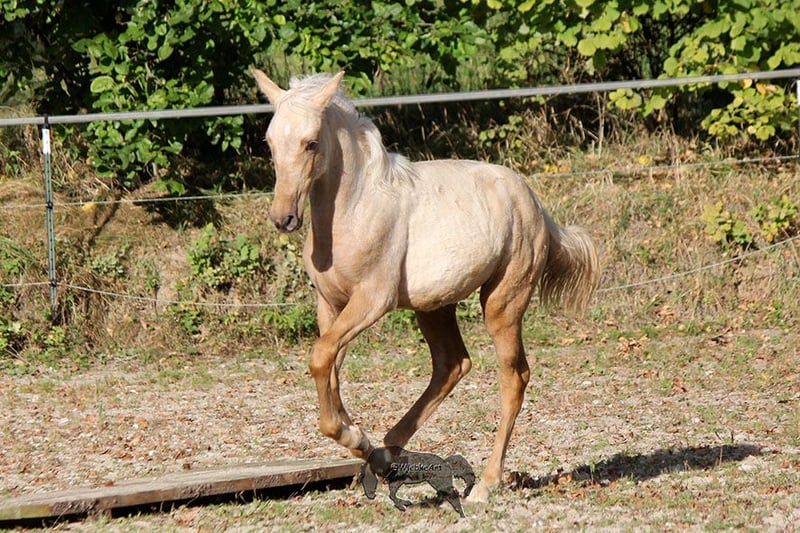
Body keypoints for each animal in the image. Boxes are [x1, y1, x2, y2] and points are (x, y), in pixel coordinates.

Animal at [253, 69, 600, 503]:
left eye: (311, 142)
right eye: (270, 142)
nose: (283, 218)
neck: (353, 210)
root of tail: (536, 204)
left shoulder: (372, 301)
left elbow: (320, 358)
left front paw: (353, 436)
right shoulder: (330, 304)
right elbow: (328, 366)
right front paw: (357, 438)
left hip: (503, 302)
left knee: (514, 377)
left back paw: (485, 485)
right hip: (434, 306)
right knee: (453, 364)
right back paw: (385, 454)